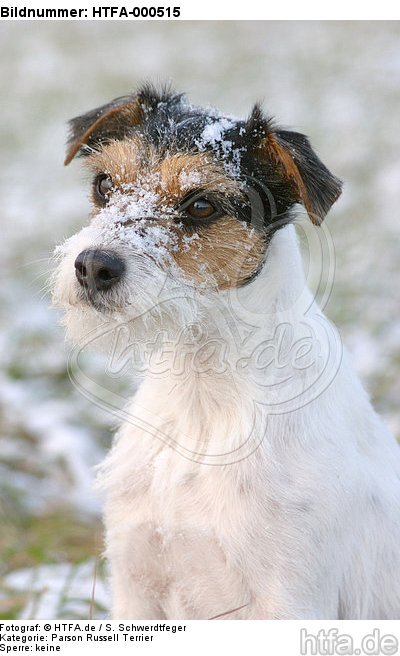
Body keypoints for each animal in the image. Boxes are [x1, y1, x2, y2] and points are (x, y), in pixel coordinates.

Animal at [53, 83, 400, 620]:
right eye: (104, 185)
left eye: (201, 205)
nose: (92, 266)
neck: (202, 391)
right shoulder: (136, 581)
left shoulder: (288, 601)